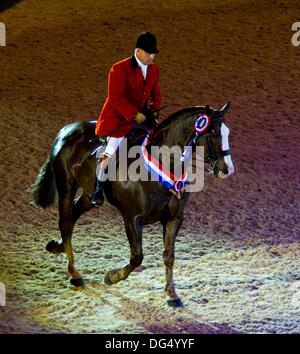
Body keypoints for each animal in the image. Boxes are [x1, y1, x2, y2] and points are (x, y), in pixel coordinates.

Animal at [29, 101, 234, 306]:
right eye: (214, 133)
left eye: (227, 132)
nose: (228, 170)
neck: (162, 164)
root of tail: (66, 129)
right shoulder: (133, 219)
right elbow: (137, 257)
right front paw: (111, 277)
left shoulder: (174, 219)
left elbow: (169, 255)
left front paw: (171, 294)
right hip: (66, 187)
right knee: (65, 222)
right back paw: (74, 274)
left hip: (88, 196)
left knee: (73, 217)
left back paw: (58, 247)